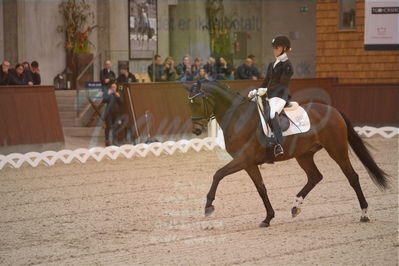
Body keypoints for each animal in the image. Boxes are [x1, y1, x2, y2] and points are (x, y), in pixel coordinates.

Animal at [185, 80, 390, 228]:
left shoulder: (244, 159)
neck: (239, 117)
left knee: (352, 177)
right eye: (189, 104)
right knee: (315, 176)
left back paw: (364, 214)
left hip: (336, 150)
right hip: (304, 155)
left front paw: (208, 206)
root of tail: (333, 110)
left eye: (198, 102)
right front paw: (268, 218)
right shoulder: (248, 163)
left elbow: (218, 174)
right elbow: (261, 188)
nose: (196, 130)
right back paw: (295, 206)